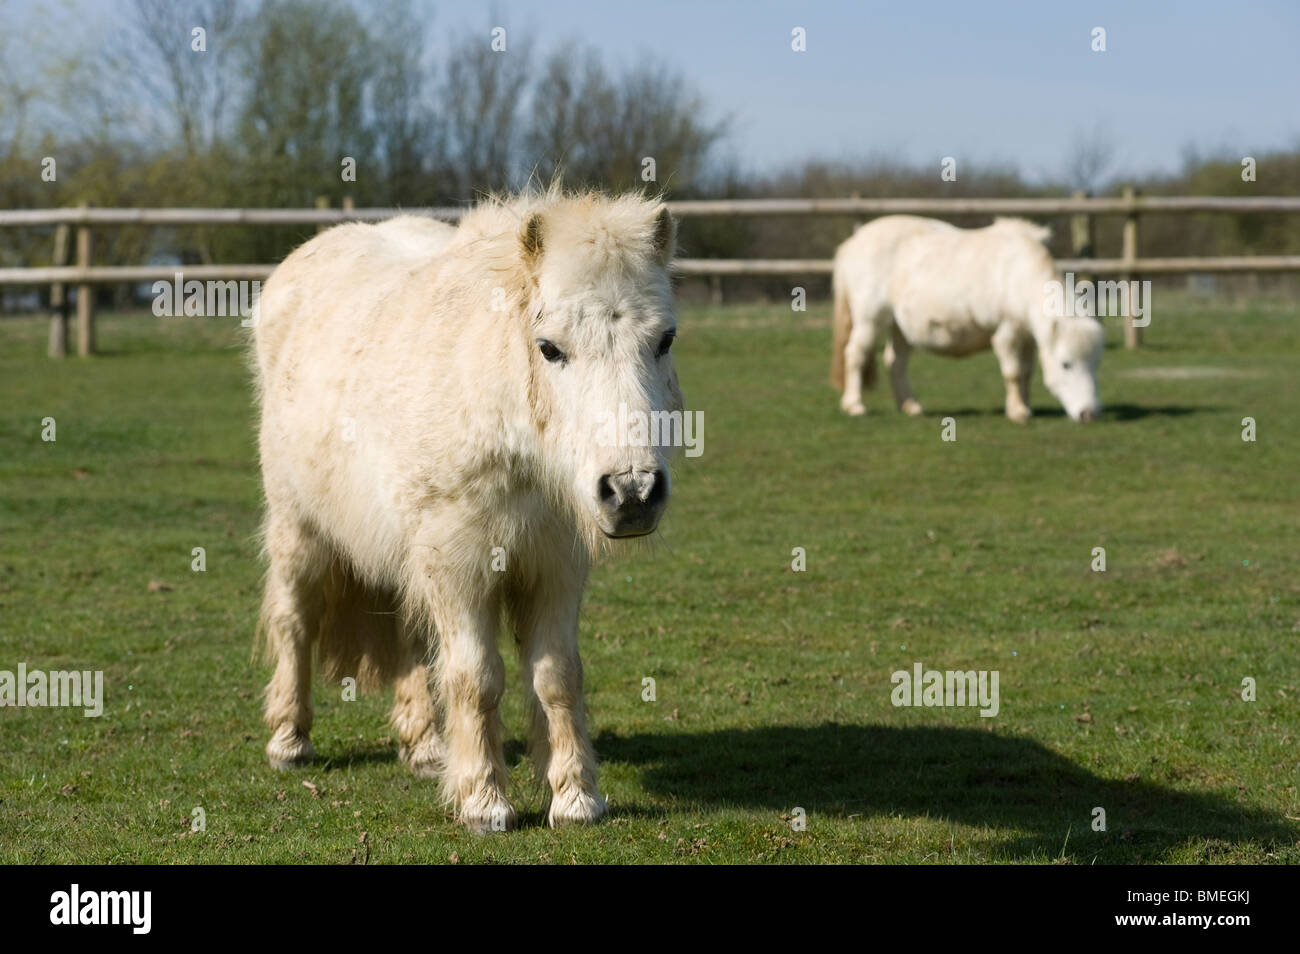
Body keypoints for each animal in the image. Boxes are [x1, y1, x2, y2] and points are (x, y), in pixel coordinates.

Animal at [248, 192, 686, 831]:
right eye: (550, 348)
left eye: (664, 340)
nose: (632, 492)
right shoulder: (458, 566)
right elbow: (476, 678)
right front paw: (485, 802)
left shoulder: (552, 567)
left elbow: (556, 677)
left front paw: (576, 797)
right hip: (298, 530)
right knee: (294, 621)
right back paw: (289, 740)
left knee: (409, 635)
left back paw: (425, 747)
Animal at [832, 218, 1107, 428]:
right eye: (1066, 364)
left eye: (1095, 364)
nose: (1089, 414)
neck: (1016, 274)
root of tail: (853, 242)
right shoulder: (1006, 332)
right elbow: (1013, 372)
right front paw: (1017, 411)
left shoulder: (1027, 336)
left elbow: (1026, 372)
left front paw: (1025, 405)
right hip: (870, 319)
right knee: (855, 354)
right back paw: (855, 405)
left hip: (900, 327)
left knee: (895, 362)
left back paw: (909, 405)